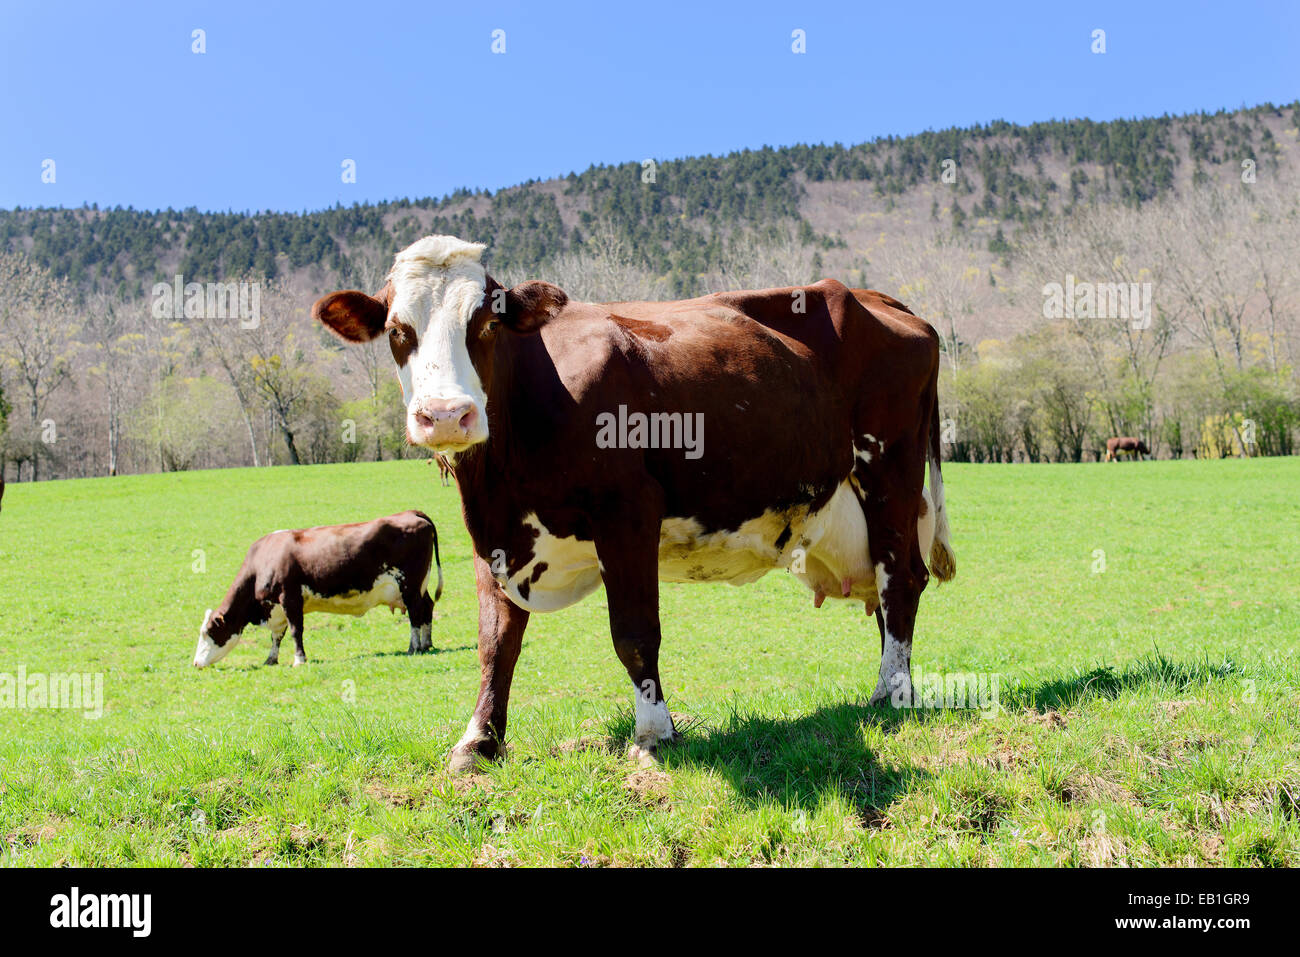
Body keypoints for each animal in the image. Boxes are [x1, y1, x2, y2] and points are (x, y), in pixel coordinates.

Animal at [189, 512, 441, 670]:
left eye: (208, 632)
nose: (196, 663)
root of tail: (412, 514)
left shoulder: (290, 598)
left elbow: (295, 632)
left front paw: (299, 660)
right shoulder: (276, 607)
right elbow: (276, 636)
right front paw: (271, 659)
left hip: (409, 585)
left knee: (415, 615)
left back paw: (413, 647)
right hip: (419, 586)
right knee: (427, 608)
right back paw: (427, 643)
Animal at [308, 235, 951, 774]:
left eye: (487, 323)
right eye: (398, 330)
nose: (445, 415)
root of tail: (869, 295)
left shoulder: (628, 512)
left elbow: (635, 633)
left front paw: (654, 732)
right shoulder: (490, 533)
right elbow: (496, 641)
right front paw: (479, 741)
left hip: (888, 471)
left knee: (900, 580)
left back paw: (892, 692)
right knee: (888, 590)